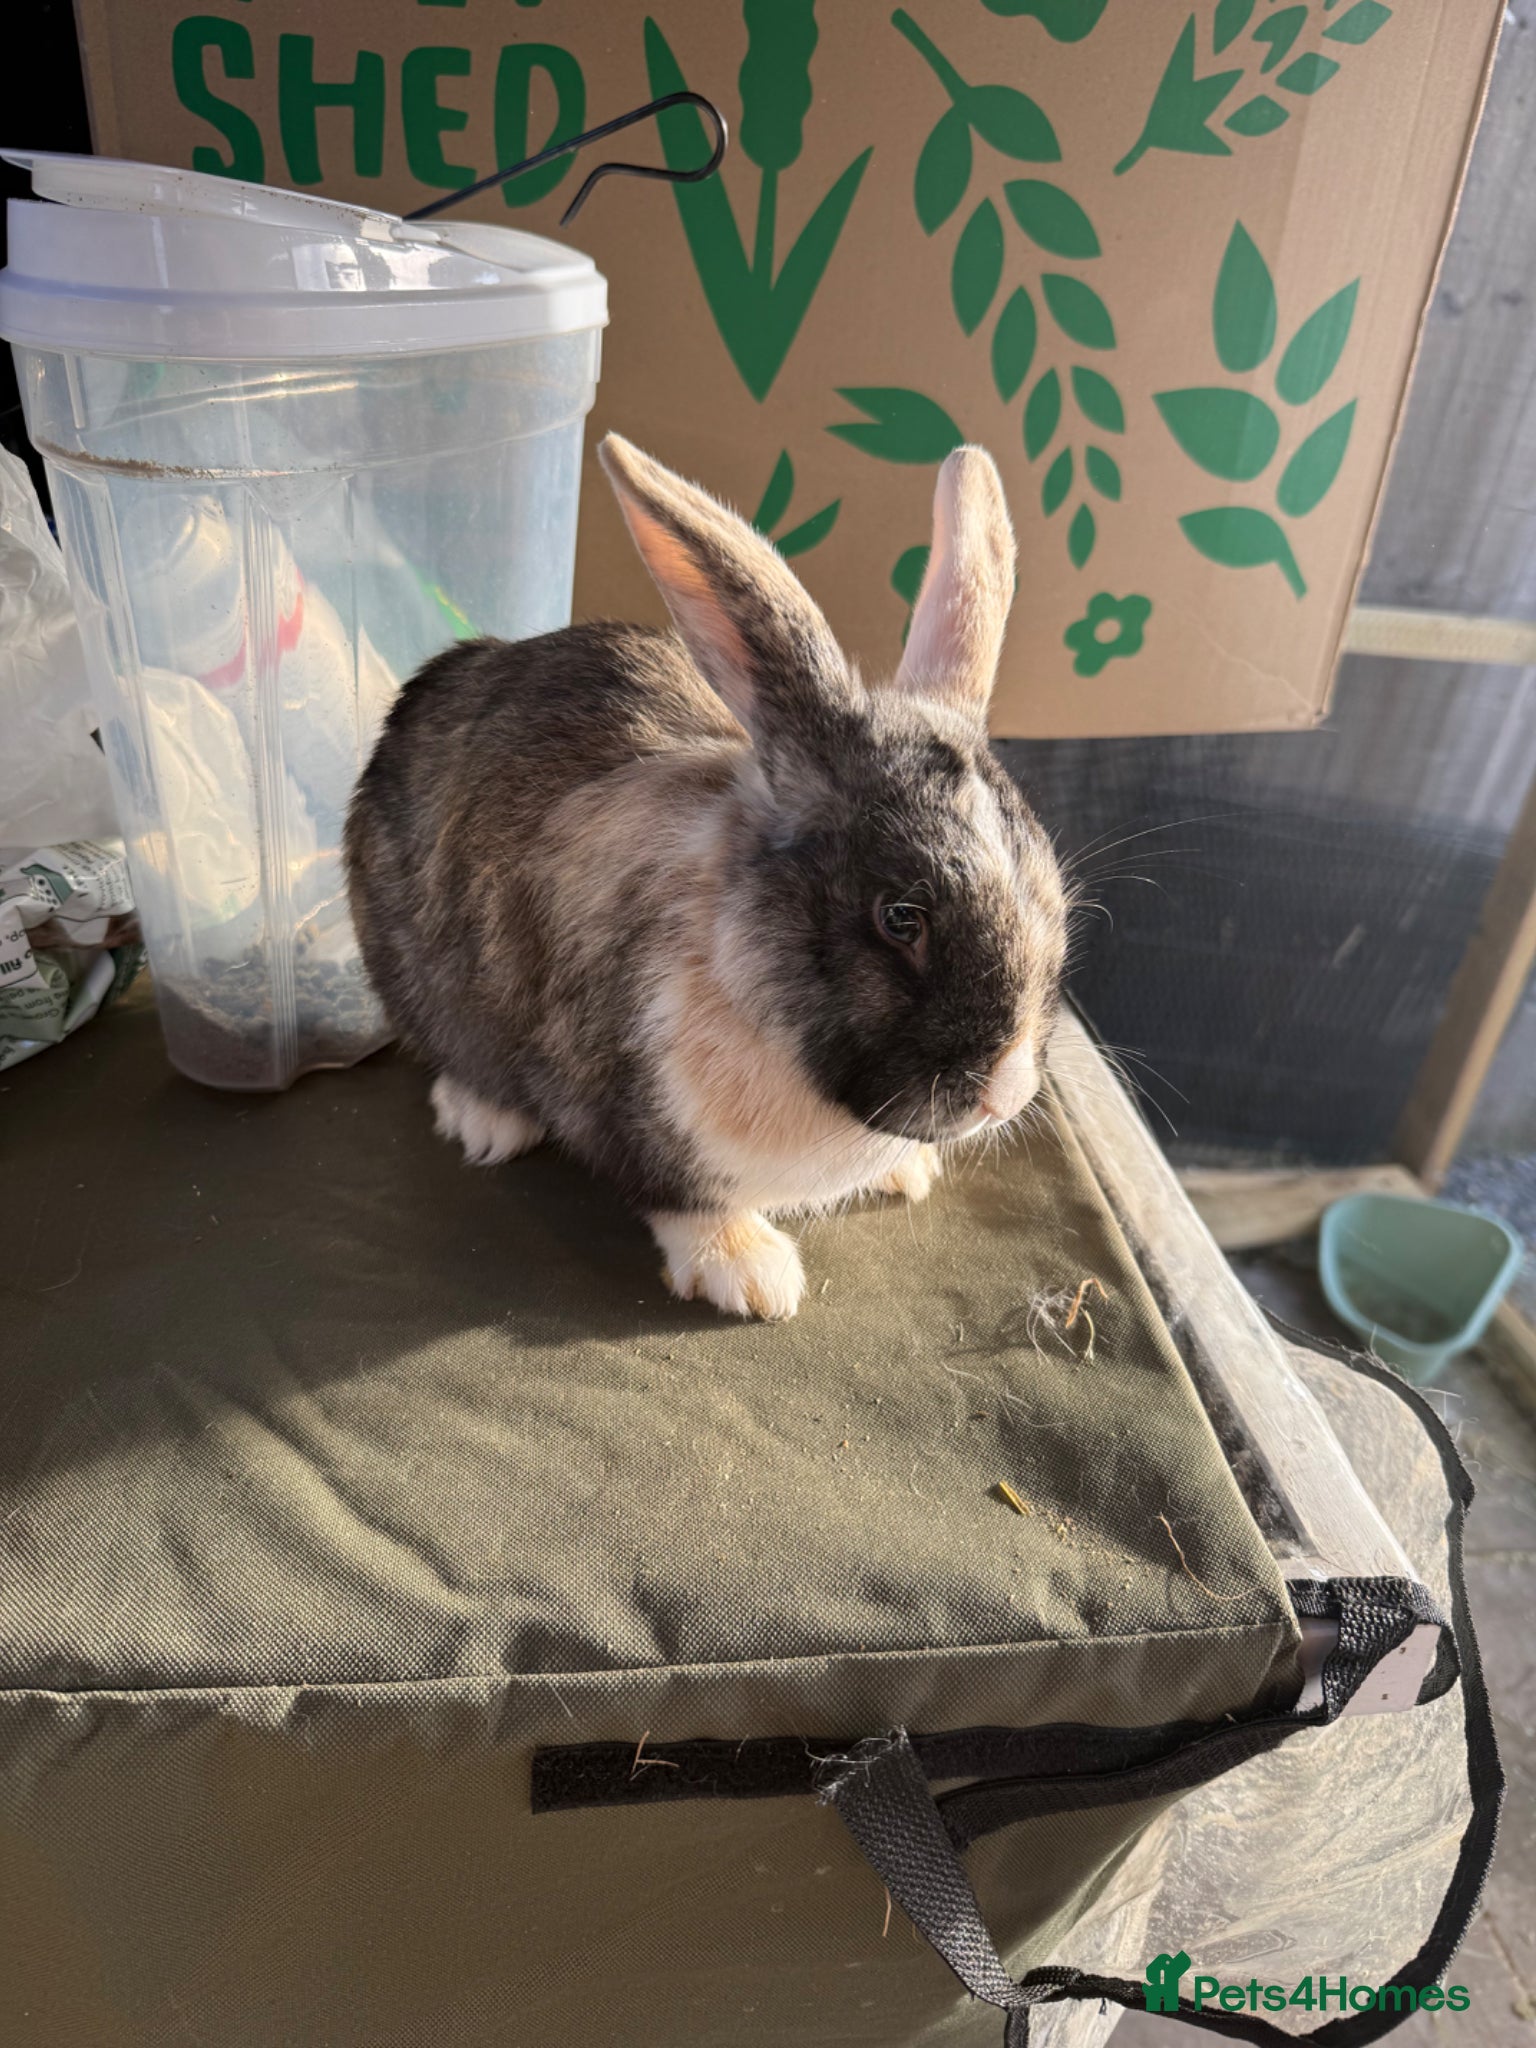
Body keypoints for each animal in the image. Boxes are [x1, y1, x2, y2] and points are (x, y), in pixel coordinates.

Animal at [345, 434, 1068, 1320]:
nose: (1005, 1093)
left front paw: (909, 1172)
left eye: (1055, 897)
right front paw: (752, 1277)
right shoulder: (622, 1106)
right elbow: (681, 1198)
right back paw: (485, 1121)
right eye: (901, 918)